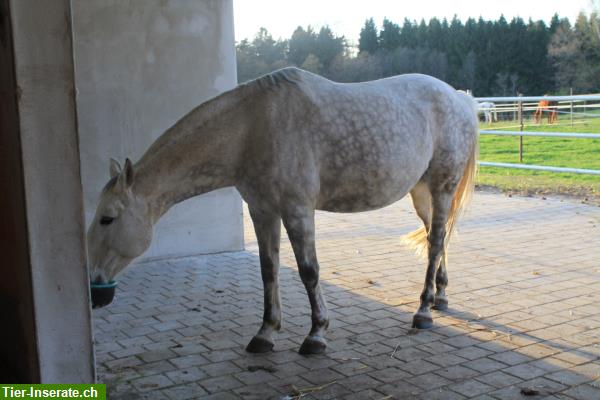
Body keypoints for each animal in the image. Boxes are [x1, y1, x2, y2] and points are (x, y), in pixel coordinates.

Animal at [86, 67, 478, 354]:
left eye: (108, 218)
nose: (95, 293)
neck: (252, 128)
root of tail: (459, 98)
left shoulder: (297, 210)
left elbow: (309, 271)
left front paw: (316, 334)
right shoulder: (262, 211)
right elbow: (268, 270)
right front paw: (265, 332)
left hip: (441, 187)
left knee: (436, 240)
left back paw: (423, 310)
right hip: (422, 193)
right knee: (437, 238)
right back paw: (441, 296)